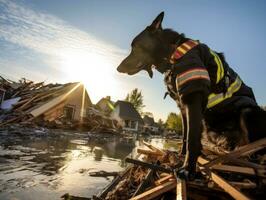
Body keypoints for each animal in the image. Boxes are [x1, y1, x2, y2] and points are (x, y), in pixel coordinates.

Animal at [117, 12, 266, 178]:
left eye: (135, 47)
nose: (118, 68)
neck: (172, 53)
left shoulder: (192, 98)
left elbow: (192, 138)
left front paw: (188, 169)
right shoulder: (183, 107)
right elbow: (185, 136)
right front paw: (182, 156)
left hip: (247, 112)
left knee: (255, 145)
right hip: (211, 131)